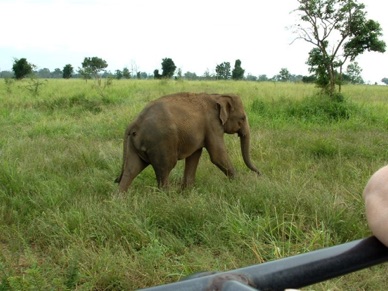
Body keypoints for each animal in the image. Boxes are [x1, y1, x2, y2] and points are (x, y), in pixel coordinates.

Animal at [115, 92, 260, 192]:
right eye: (243, 118)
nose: (259, 174)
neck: (218, 96)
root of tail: (134, 123)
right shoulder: (212, 125)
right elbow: (217, 155)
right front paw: (240, 184)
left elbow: (194, 155)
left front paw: (187, 191)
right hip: (161, 144)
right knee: (165, 168)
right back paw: (167, 198)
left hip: (134, 145)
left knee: (131, 169)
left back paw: (119, 201)